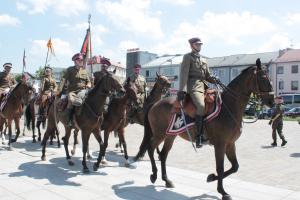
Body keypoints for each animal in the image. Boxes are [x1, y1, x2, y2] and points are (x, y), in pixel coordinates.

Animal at [138, 59, 274, 200]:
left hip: (170, 136)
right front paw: (222, 191)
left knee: (163, 155)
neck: (228, 107)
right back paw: (154, 175)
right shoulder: (220, 145)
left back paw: (166, 180)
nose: (272, 101)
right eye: (263, 78)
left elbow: (235, 166)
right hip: (159, 134)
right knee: (150, 148)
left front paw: (212, 178)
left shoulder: (230, 144)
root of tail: (155, 104)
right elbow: (220, 167)